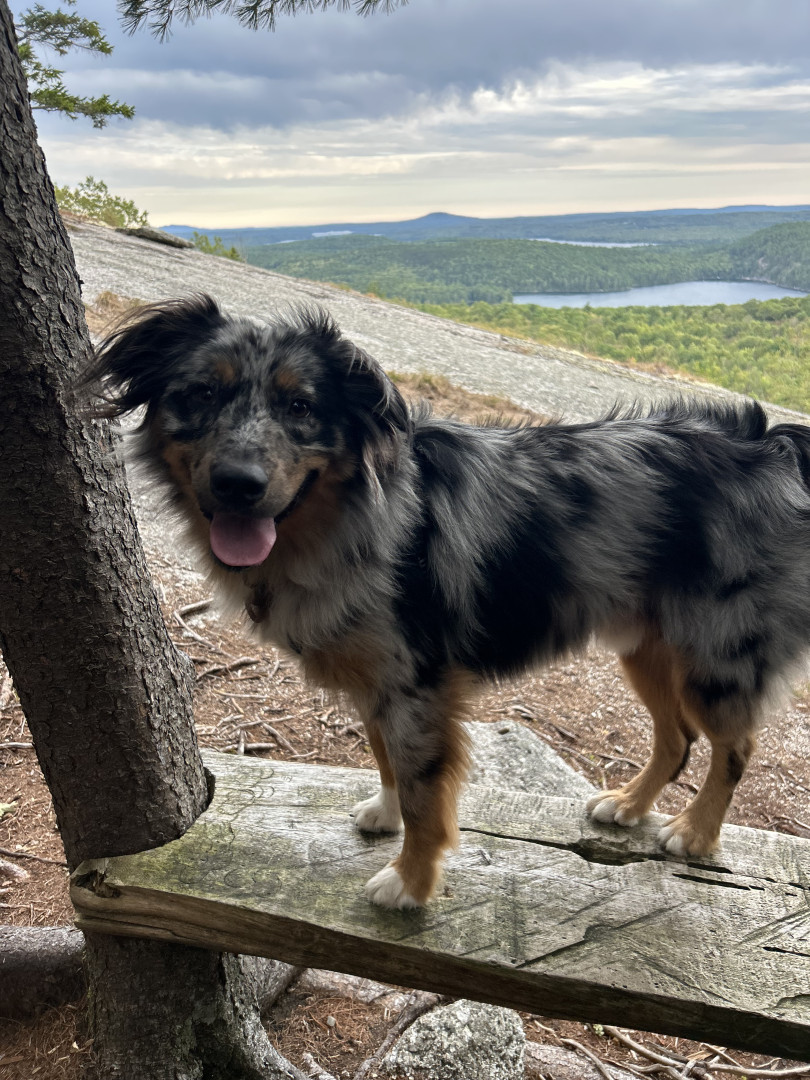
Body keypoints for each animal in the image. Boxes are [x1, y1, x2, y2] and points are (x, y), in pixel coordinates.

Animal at [85, 293, 810, 908]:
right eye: (201, 393)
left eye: (301, 408)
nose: (240, 483)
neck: (351, 518)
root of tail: (773, 445)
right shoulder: (378, 681)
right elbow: (386, 760)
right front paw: (384, 814)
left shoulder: (417, 685)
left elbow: (424, 794)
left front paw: (411, 882)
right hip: (647, 647)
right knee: (678, 737)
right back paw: (630, 806)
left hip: (717, 658)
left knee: (735, 747)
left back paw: (696, 832)